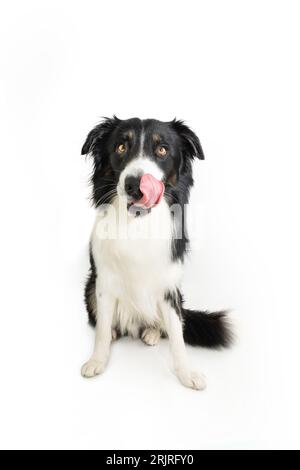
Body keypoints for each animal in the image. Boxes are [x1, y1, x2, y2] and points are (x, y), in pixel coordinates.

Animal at [80, 116, 232, 390]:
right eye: (121, 147)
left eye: (162, 150)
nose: (134, 185)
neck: (138, 224)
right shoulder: (104, 281)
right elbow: (103, 328)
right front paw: (98, 359)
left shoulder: (170, 285)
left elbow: (176, 334)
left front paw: (186, 372)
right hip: (89, 286)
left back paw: (151, 333)